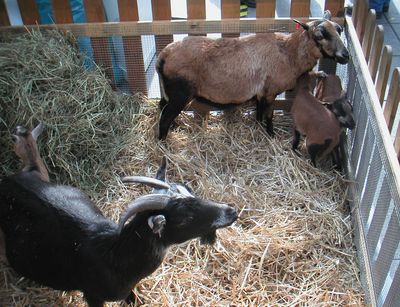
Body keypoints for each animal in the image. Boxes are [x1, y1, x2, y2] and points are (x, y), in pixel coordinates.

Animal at [0, 124, 238, 307]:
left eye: (189, 190)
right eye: (184, 218)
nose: (231, 212)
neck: (116, 256)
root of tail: (9, 181)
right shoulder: (93, 295)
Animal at [155, 9, 348, 140]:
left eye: (339, 30)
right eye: (319, 35)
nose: (345, 55)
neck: (289, 53)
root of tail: (163, 56)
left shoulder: (261, 93)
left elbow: (259, 113)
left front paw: (258, 128)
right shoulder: (271, 91)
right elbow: (268, 115)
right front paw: (271, 135)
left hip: (169, 92)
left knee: (161, 107)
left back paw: (172, 129)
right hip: (180, 92)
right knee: (165, 117)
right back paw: (163, 143)